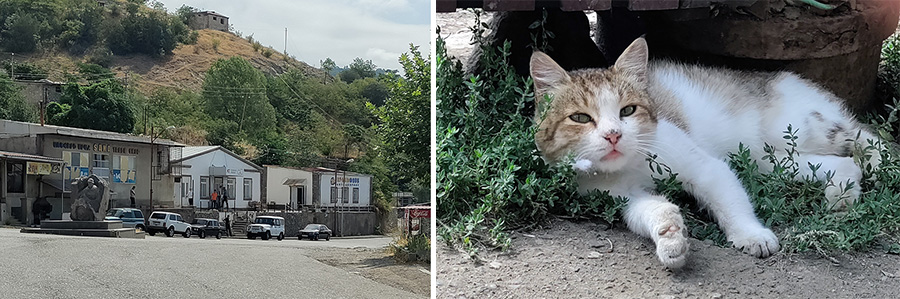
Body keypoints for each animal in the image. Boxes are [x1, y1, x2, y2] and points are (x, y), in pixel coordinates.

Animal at [532, 37, 884, 270]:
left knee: (868, 138)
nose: (614, 134)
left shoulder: (703, 165)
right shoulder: (621, 197)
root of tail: (784, 76)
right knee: (845, 164)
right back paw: (842, 198)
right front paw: (670, 236)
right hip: (771, 159)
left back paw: (874, 166)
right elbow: (648, 210)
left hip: (803, 127)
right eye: (580, 118)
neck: (629, 166)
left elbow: (729, 200)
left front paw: (751, 235)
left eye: (628, 110)